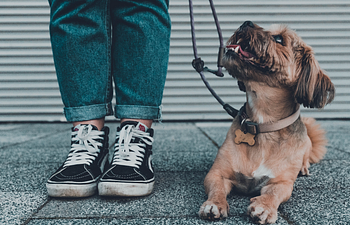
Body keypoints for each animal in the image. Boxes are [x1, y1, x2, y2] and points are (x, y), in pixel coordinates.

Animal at [198, 20, 334, 223]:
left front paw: (264, 207)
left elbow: (273, 194)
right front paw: (214, 204)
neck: (262, 125)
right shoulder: (217, 173)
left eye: (278, 38)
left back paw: (303, 168)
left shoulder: (281, 182)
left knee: (304, 158)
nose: (246, 23)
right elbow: (217, 189)